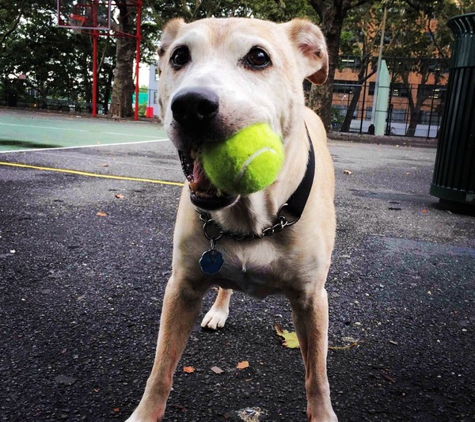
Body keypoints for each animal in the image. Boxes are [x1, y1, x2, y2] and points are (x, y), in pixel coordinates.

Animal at [124, 16, 336, 422]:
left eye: (258, 57)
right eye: (179, 56)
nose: (191, 105)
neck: (253, 217)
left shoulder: (311, 299)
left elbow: (317, 376)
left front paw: (323, 414)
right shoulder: (182, 287)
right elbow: (160, 369)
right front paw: (144, 413)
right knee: (224, 282)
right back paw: (219, 310)